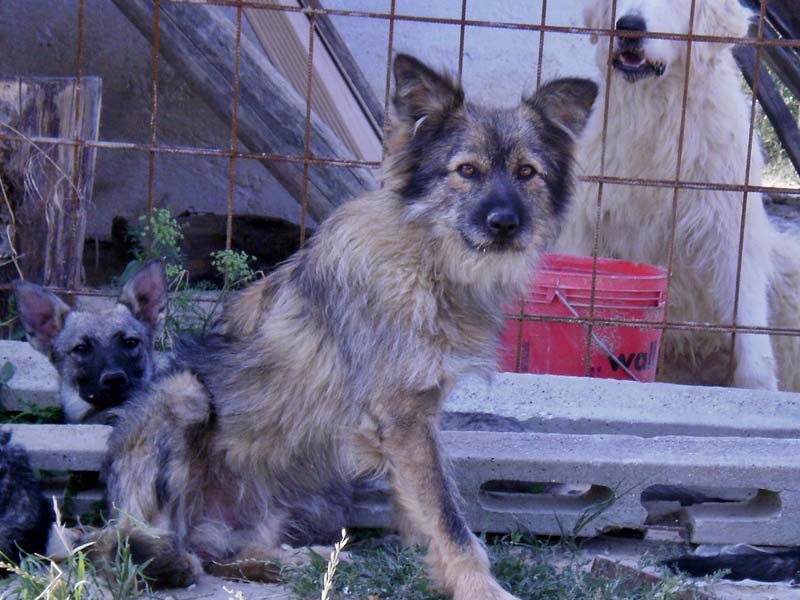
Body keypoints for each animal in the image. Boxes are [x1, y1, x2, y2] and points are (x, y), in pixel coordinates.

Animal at [556, 0, 800, 390]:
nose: (629, 26)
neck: (659, 119)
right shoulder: (586, 221)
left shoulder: (731, 229)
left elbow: (747, 314)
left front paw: (759, 386)